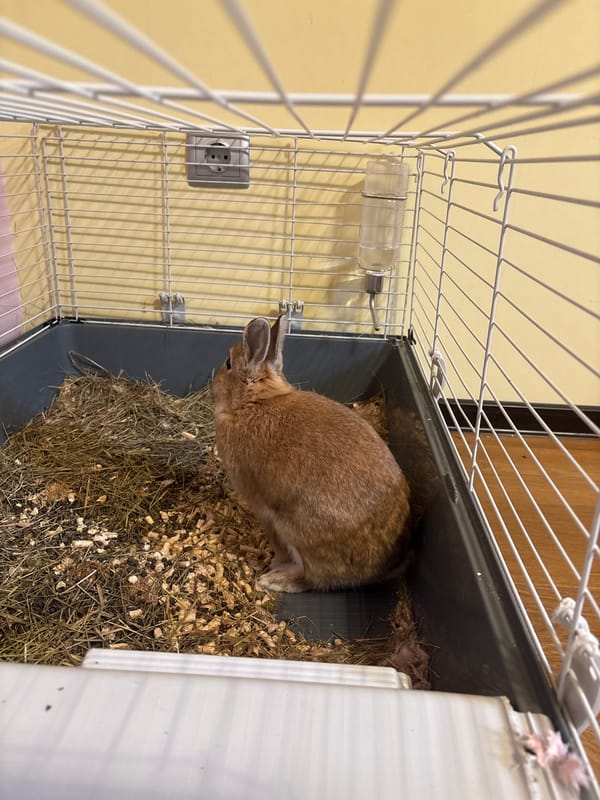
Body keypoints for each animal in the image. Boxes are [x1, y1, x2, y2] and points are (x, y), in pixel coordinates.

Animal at [213, 315, 411, 593]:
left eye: (228, 363)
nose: (212, 386)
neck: (254, 402)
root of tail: (384, 566)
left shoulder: (263, 509)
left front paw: (274, 564)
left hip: (296, 531)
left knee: (315, 579)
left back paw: (275, 579)